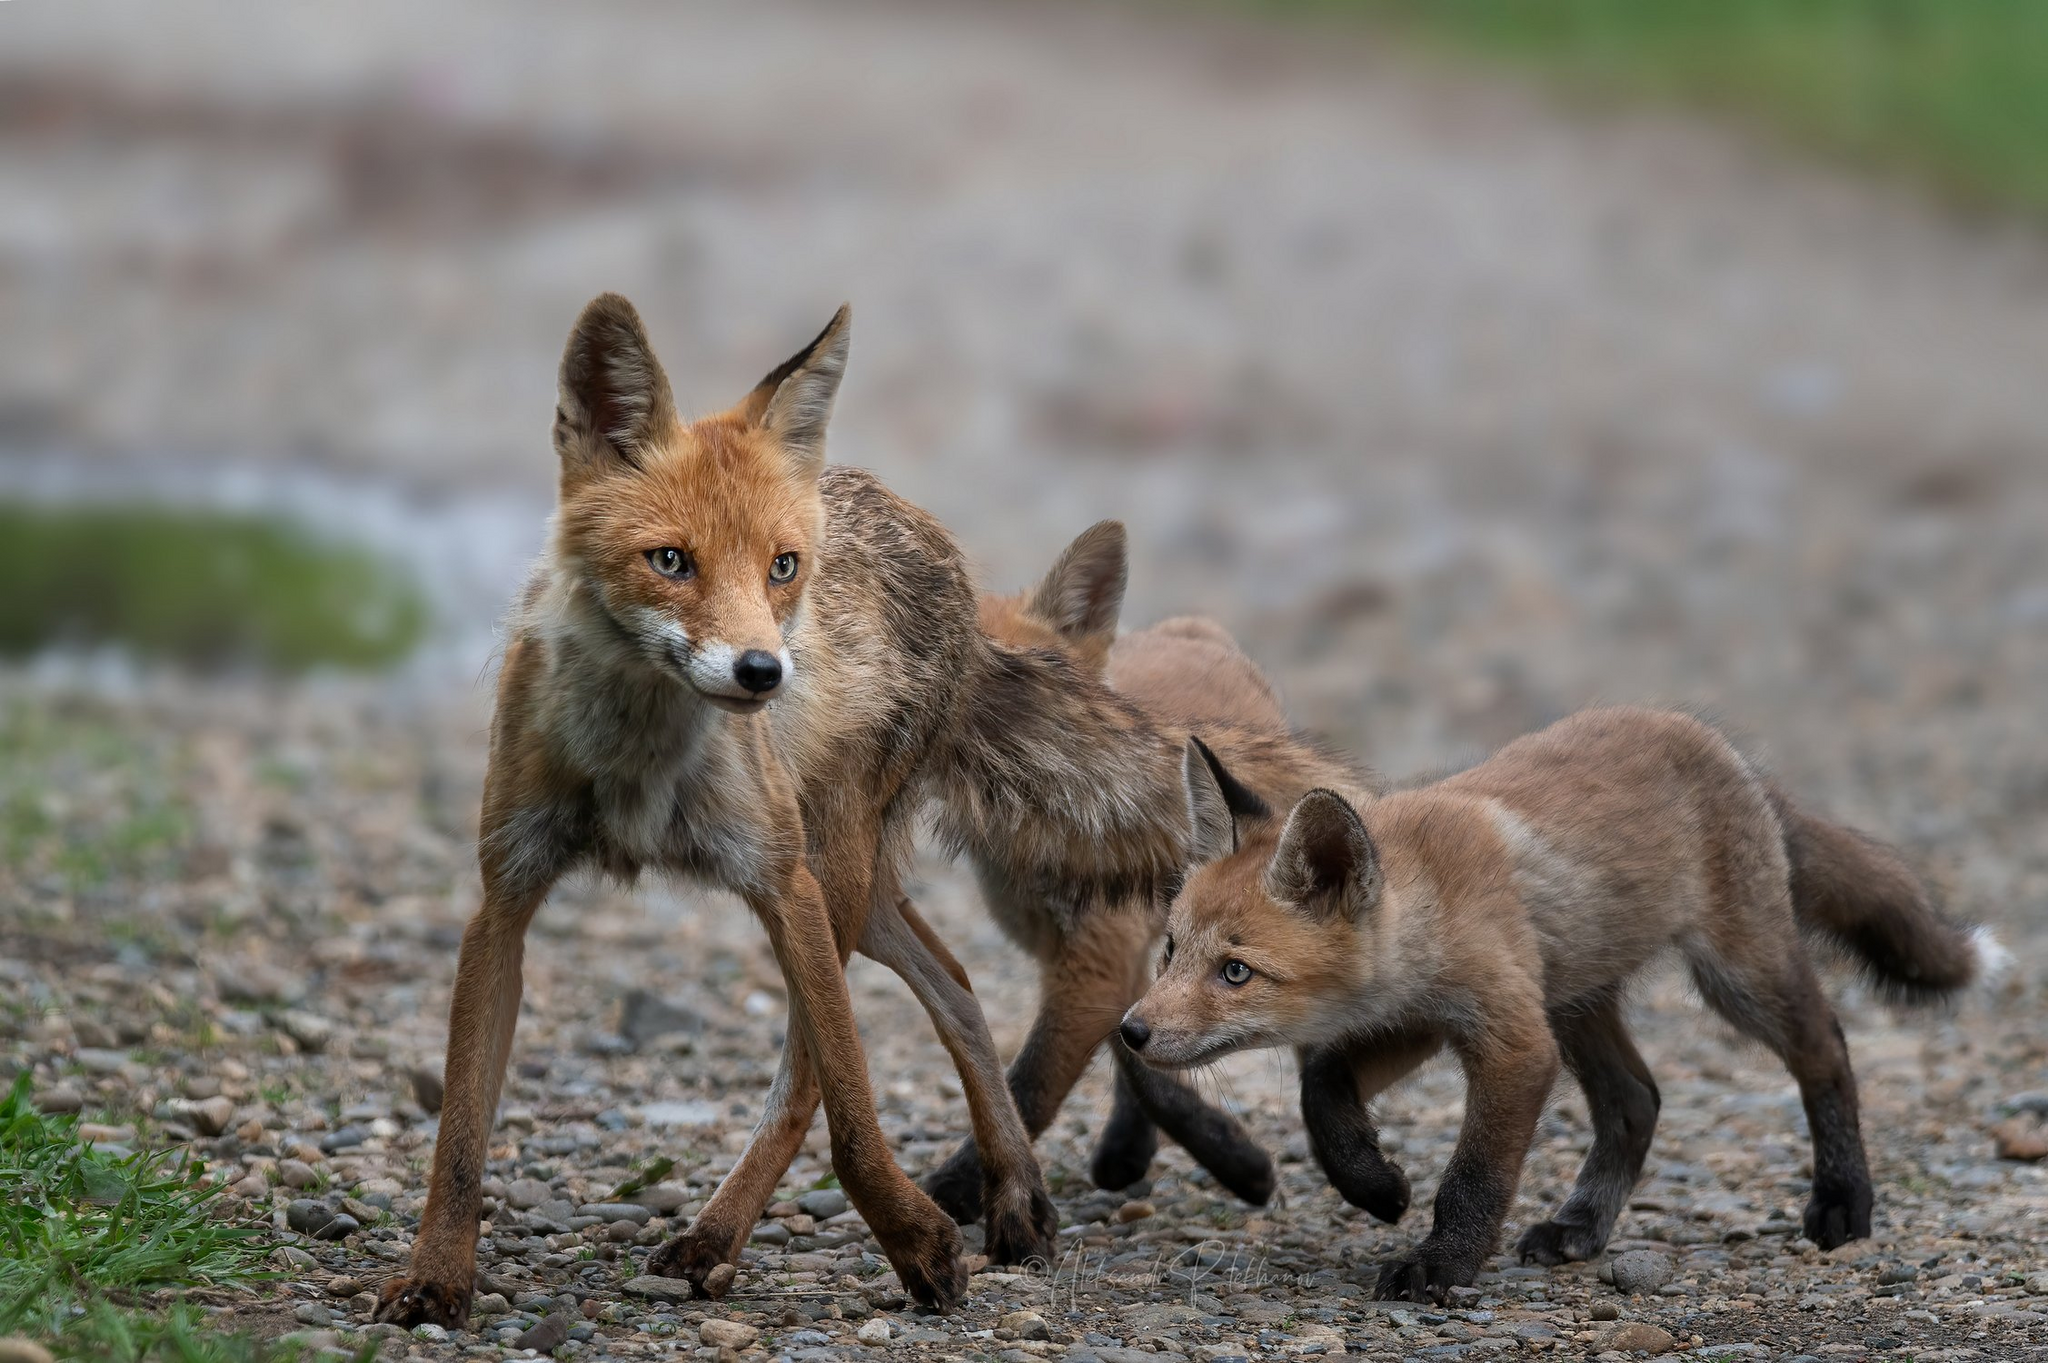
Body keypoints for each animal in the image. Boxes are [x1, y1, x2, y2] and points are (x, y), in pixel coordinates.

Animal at [1122, 704, 1998, 1301]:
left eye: (1235, 971)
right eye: (1171, 951)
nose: (1132, 1030)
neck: (1427, 903)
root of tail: (1717, 745)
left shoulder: (1513, 1039)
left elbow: (1474, 1174)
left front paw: (1440, 1262)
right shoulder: (1422, 1021)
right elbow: (1320, 1092)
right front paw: (1374, 1184)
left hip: (1736, 977)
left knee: (1827, 1049)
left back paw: (1844, 1198)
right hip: (1577, 1000)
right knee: (1637, 1101)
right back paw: (1582, 1226)